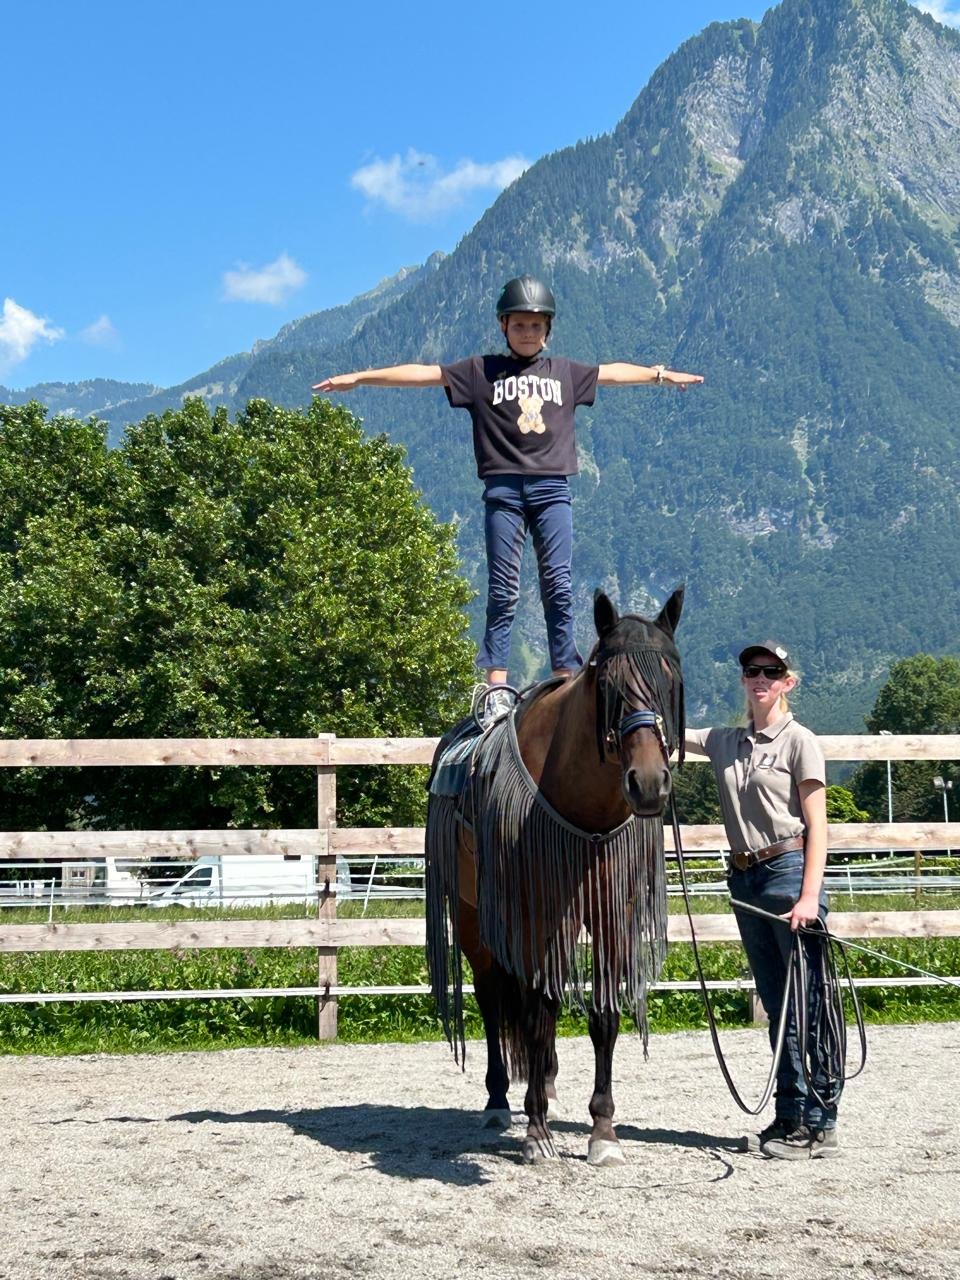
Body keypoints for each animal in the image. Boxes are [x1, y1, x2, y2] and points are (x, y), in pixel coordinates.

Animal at [425, 587, 685, 1165]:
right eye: (607, 685)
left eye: (672, 681)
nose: (648, 783)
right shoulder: (535, 912)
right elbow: (537, 1010)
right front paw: (538, 1132)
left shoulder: (613, 915)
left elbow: (602, 1015)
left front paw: (603, 1131)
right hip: (473, 917)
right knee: (493, 996)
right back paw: (500, 1099)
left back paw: (542, 1081)